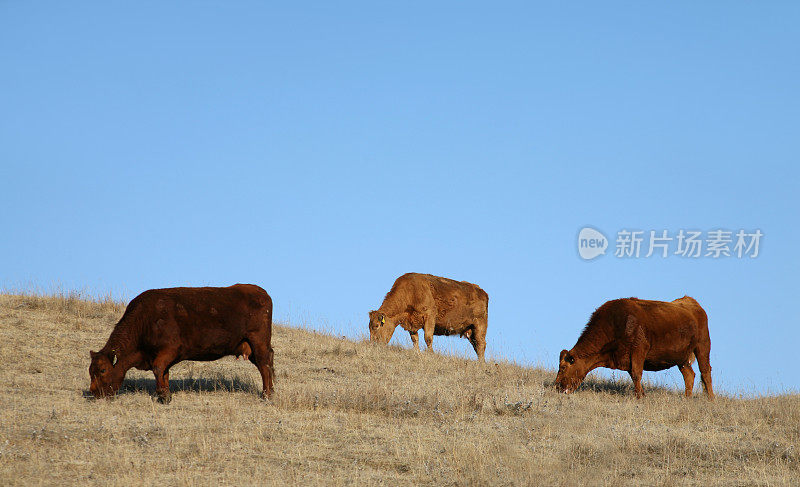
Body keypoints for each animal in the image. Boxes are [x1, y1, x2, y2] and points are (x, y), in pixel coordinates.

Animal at [89, 284, 274, 402]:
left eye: (103, 370)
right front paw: (165, 393)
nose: (94, 392)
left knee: (264, 365)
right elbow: (163, 372)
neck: (145, 320)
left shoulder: (169, 350)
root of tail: (260, 291)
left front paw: (163, 395)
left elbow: (158, 368)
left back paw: (266, 395)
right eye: (91, 371)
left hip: (258, 342)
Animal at [552, 298, 716, 400]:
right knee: (689, 375)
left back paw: (711, 399)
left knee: (705, 372)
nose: (556, 386)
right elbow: (633, 374)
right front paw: (641, 394)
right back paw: (686, 398)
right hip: (681, 357)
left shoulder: (639, 350)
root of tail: (690, 301)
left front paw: (639, 396)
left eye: (563, 367)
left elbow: (637, 374)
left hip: (703, 346)